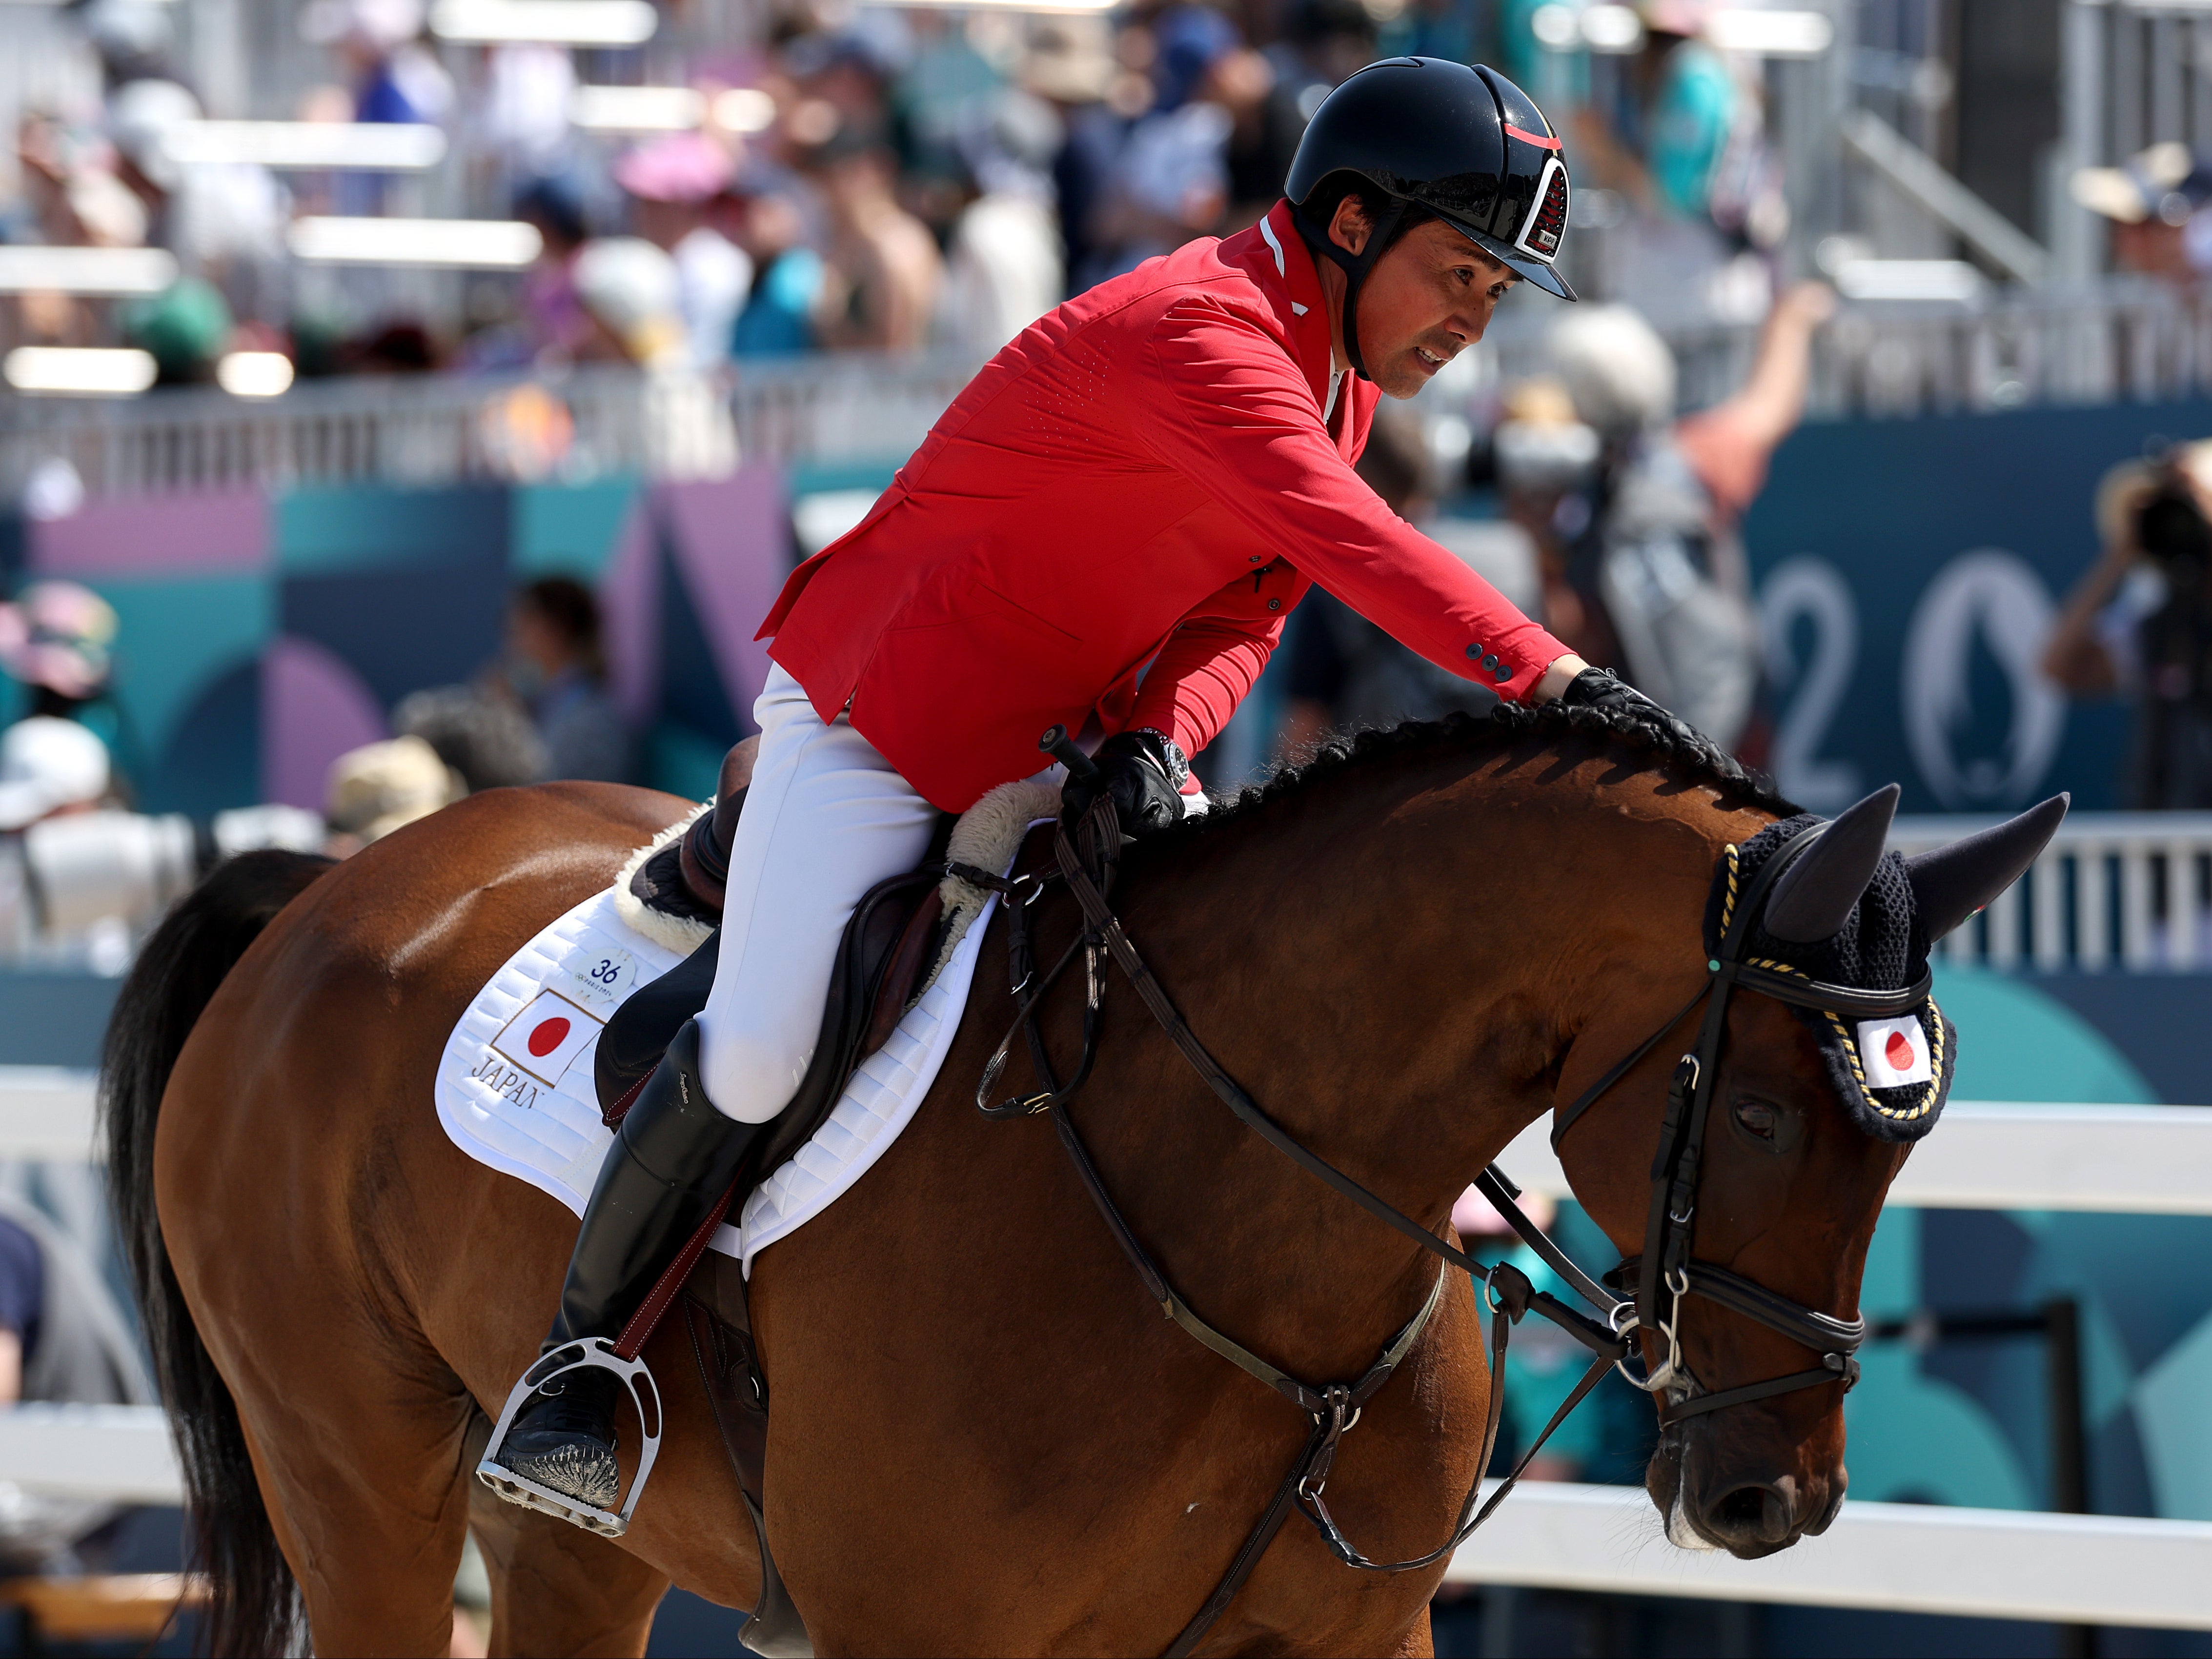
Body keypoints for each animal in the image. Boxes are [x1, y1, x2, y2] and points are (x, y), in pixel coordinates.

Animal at [107, 708, 1990, 1654]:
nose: (1770, 1497)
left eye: (1912, 1132)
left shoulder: (1347, 1643)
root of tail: (327, 890)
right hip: (357, 1473)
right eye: (1762, 1116)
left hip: (581, 1546)